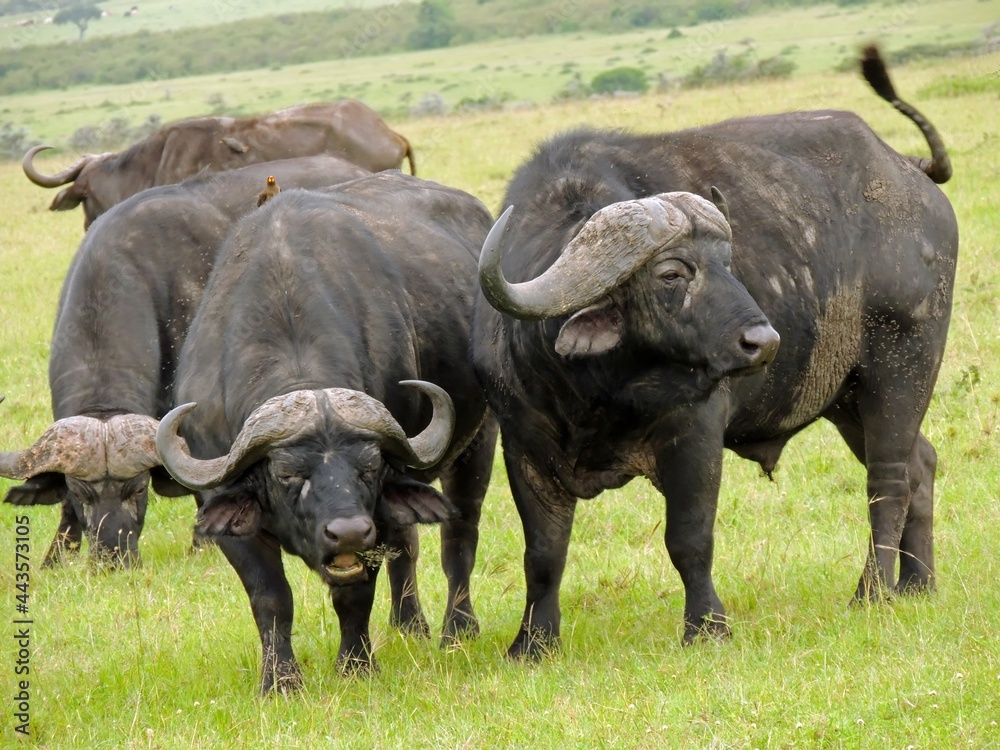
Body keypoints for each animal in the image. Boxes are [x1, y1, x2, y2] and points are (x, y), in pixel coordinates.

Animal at [155, 172, 498, 692]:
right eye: (286, 474)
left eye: (368, 469)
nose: (348, 531)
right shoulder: (226, 513)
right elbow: (270, 597)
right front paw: (280, 681)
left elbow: (355, 593)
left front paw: (356, 665)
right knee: (408, 544)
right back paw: (408, 625)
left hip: (479, 440)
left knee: (458, 537)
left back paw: (457, 630)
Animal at [471, 46, 957, 658]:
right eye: (672, 273)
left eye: (729, 262)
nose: (763, 341)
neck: (595, 390)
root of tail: (909, 171)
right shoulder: (524, 445)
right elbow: (543, 553)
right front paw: (533, 643)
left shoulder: (696, 432)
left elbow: (689, 539)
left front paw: (706, 626)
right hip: (845, 396)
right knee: (921, 463)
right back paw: (919, 583)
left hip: (900, 368)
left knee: (887, 481)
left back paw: (872, 593)